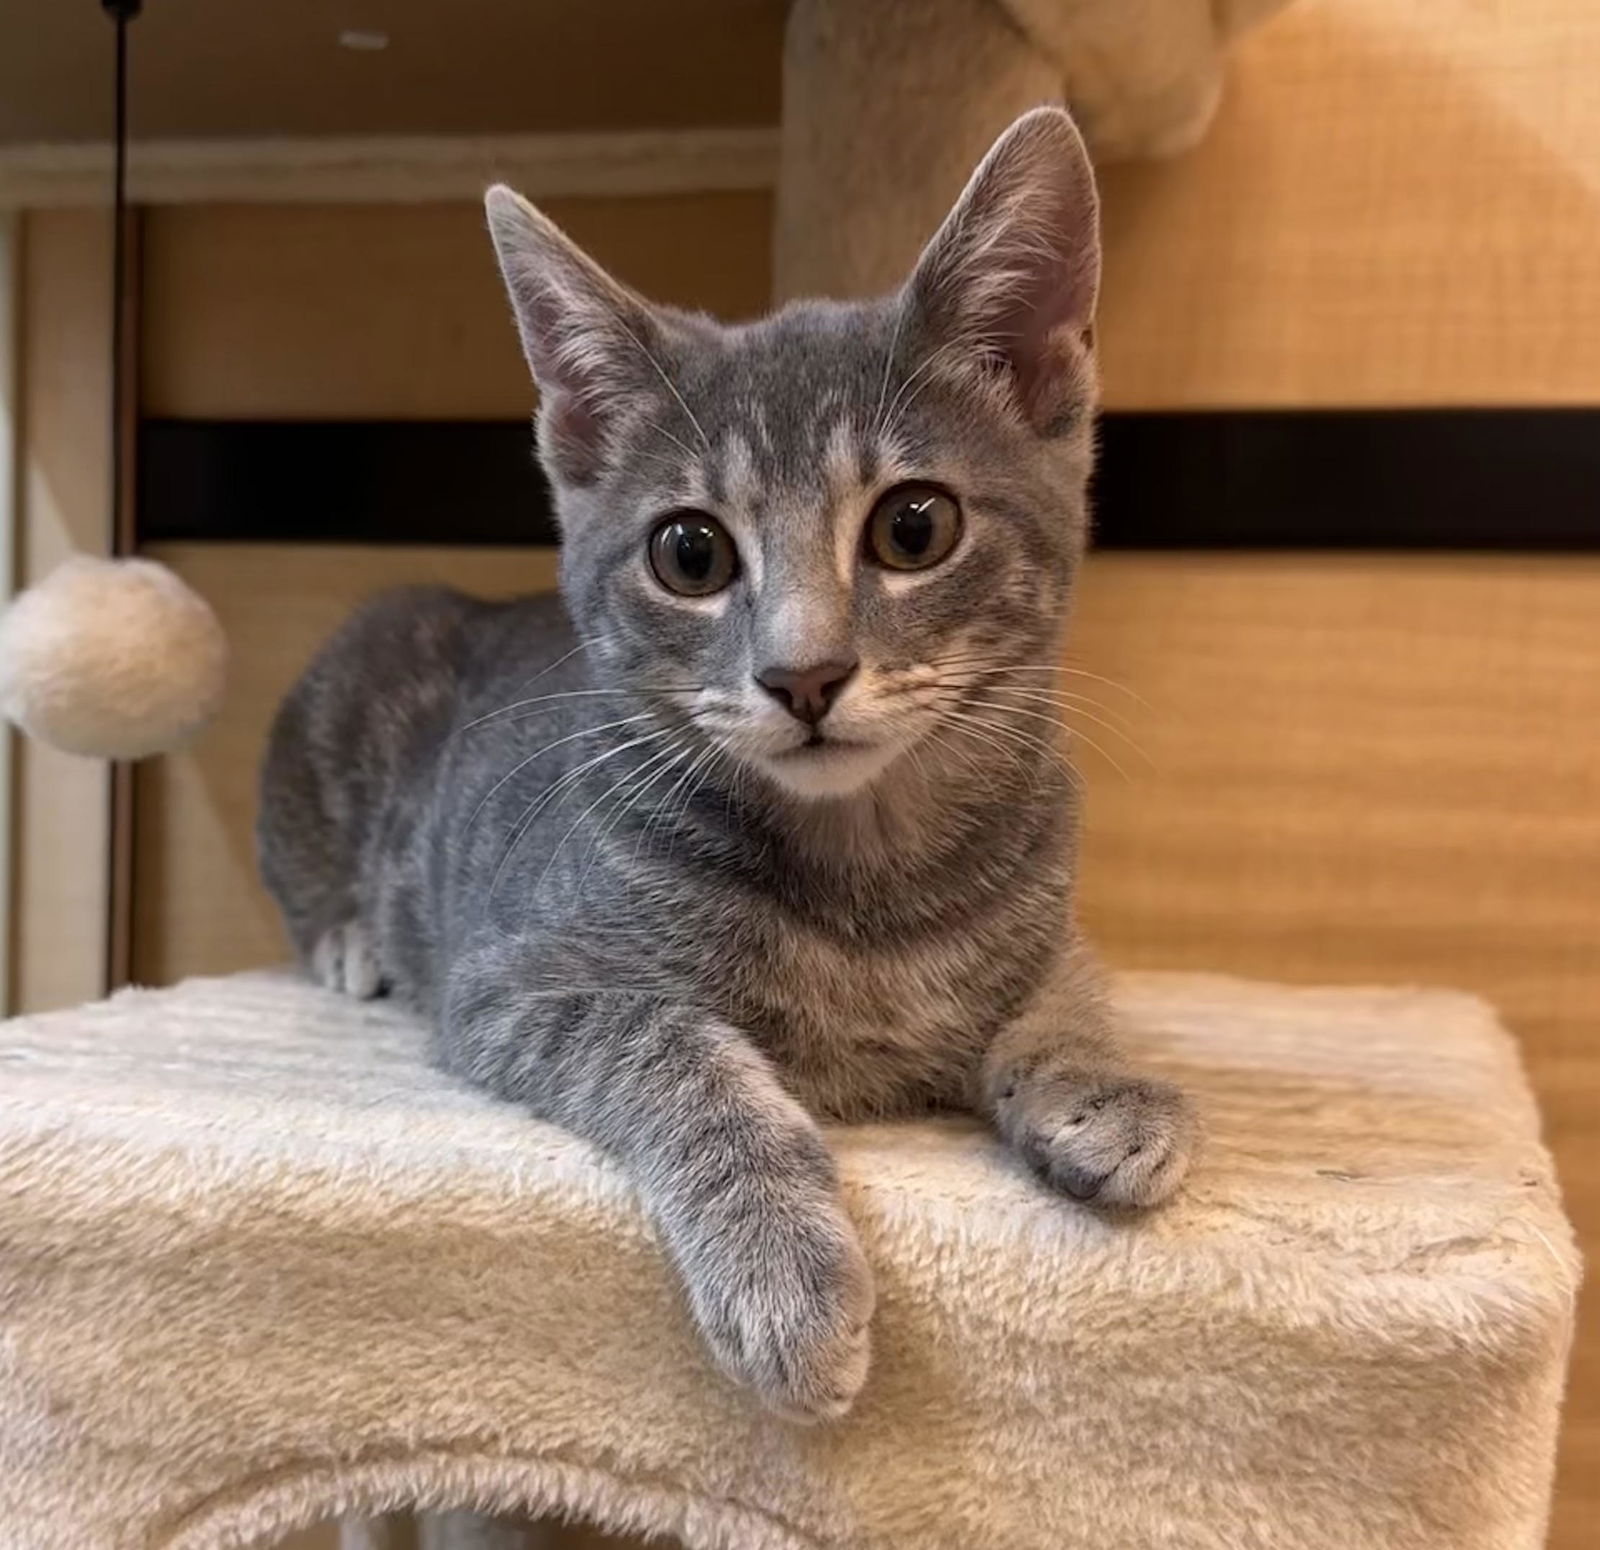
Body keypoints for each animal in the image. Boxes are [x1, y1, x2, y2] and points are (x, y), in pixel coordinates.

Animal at [259, 105, 1190, 1414]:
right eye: (689, 552)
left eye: (915, 526)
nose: (802, 675)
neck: (869, 880)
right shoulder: (517, 981)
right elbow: (680, 1053)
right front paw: (782, 1264)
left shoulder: (1045, 904)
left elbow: (1068, 981)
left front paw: (1103, 1081)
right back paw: (348, 940)